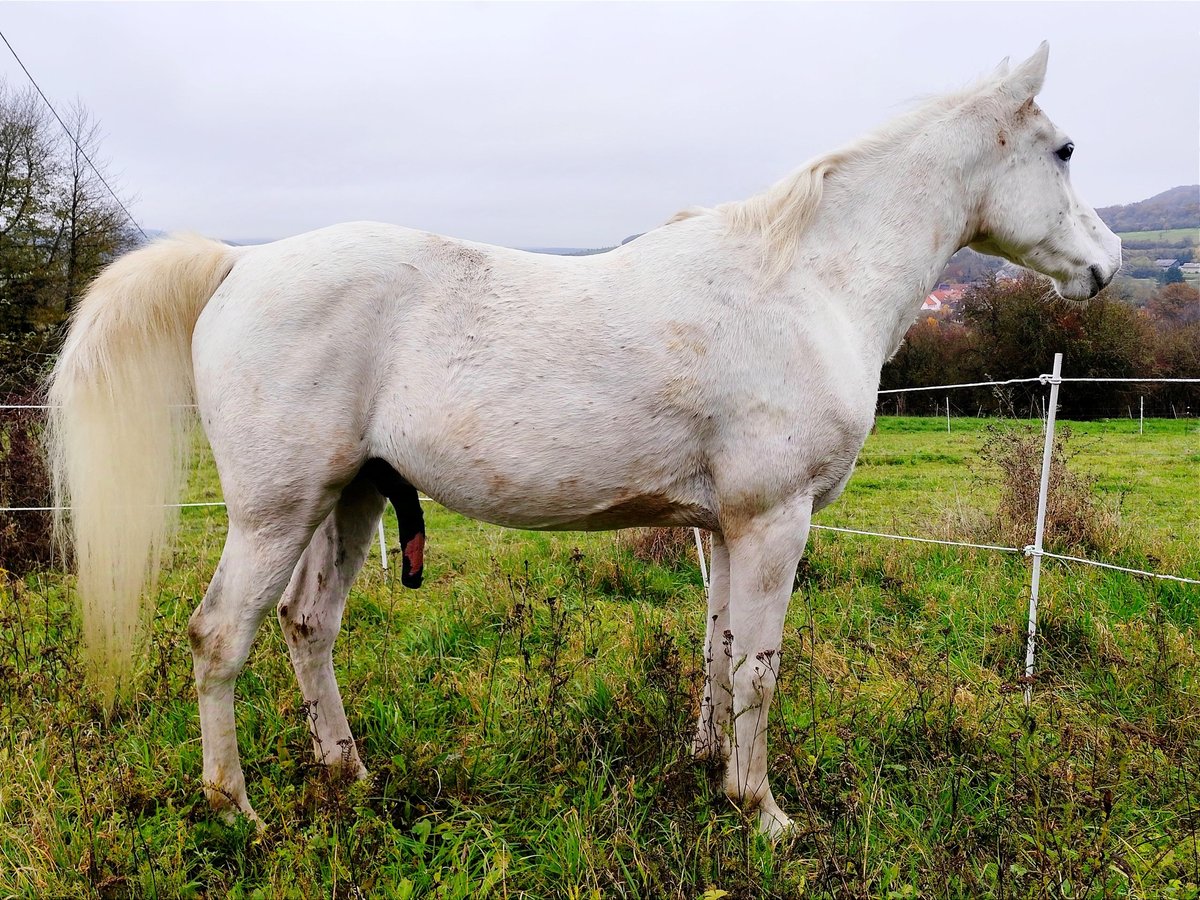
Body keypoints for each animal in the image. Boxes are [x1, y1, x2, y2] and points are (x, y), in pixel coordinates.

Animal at [44, 45, 1113, 840]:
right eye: (1063, 150)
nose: (1103, 267)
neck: (806, 283)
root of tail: (240, 264)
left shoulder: (725, 527)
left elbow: (721, 651)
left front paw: (710, 768)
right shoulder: (775, 520)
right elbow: (761, 668)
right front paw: (763, 813)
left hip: (351, 498)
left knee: (309, 627)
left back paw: (350, 774)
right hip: (276, 511)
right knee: (221, 637)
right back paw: (238, 810)